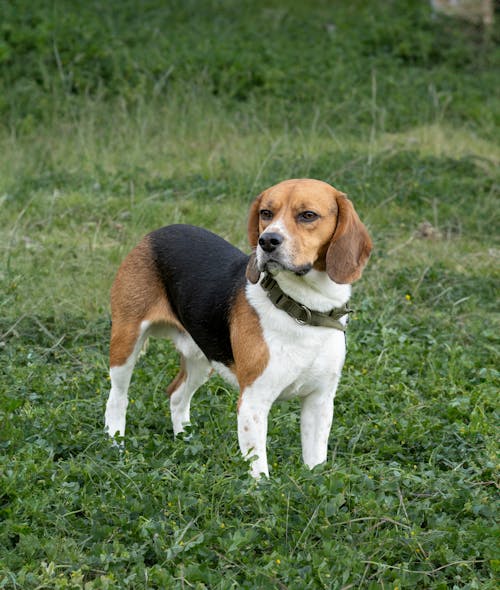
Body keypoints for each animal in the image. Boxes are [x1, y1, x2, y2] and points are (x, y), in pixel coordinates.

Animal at [105, 178, 372, 478]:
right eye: (266, 213)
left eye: (308, 215)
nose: (267, 241)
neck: (303, 309)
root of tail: (158, 232)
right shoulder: (254, 402)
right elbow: (259, 471)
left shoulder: (320, 401)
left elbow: (315, 462)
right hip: (126, 342)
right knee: (117, 398)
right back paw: (116, 444)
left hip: (202, 357)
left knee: (176, 395)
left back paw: (187, 442)